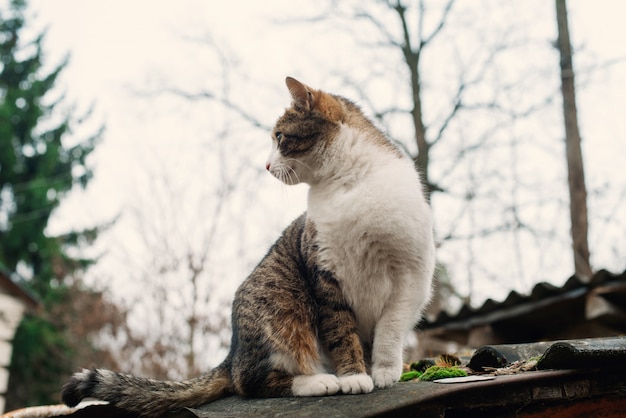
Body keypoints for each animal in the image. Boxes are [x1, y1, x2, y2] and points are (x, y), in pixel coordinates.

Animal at [63, 76, 434, 416]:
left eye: (280, 137)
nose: (266, 165)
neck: (348, 184)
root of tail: (232, 355)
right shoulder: (325, 273)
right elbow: (341, 329)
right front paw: (354, 376)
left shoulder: (411, 276)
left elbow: (390, 328)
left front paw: (383, 371)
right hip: (281, 304)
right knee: (250, 381)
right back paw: (318, 380)